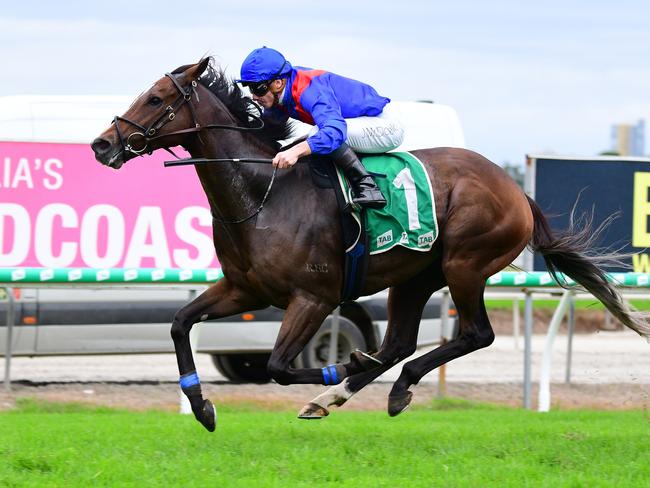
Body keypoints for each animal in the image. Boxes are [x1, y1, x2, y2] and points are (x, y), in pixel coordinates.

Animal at [91, 58, 648, 430]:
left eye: (157, 99)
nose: (102, 144)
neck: (263, 193)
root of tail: (515, 189)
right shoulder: (244, 289)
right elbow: (180, 322)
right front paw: (202, 406)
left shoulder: (312, 298)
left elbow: (277, 367)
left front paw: (344, 365)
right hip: (415, 277)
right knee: (400, 341)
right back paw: (352, 391)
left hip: (465, 264)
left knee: (476, 334)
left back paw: (381, 384)